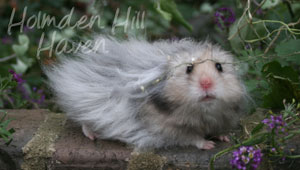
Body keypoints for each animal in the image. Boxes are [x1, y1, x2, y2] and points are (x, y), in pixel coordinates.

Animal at [43, 36, 247, 150]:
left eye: (219, 67)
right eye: (189, 69)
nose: (206, 84)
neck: (203, 113)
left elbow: (218, 130)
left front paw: (225, 138)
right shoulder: (170, 130)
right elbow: (191, 138)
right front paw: (209, 145)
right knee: (83, 121)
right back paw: (92, 135)